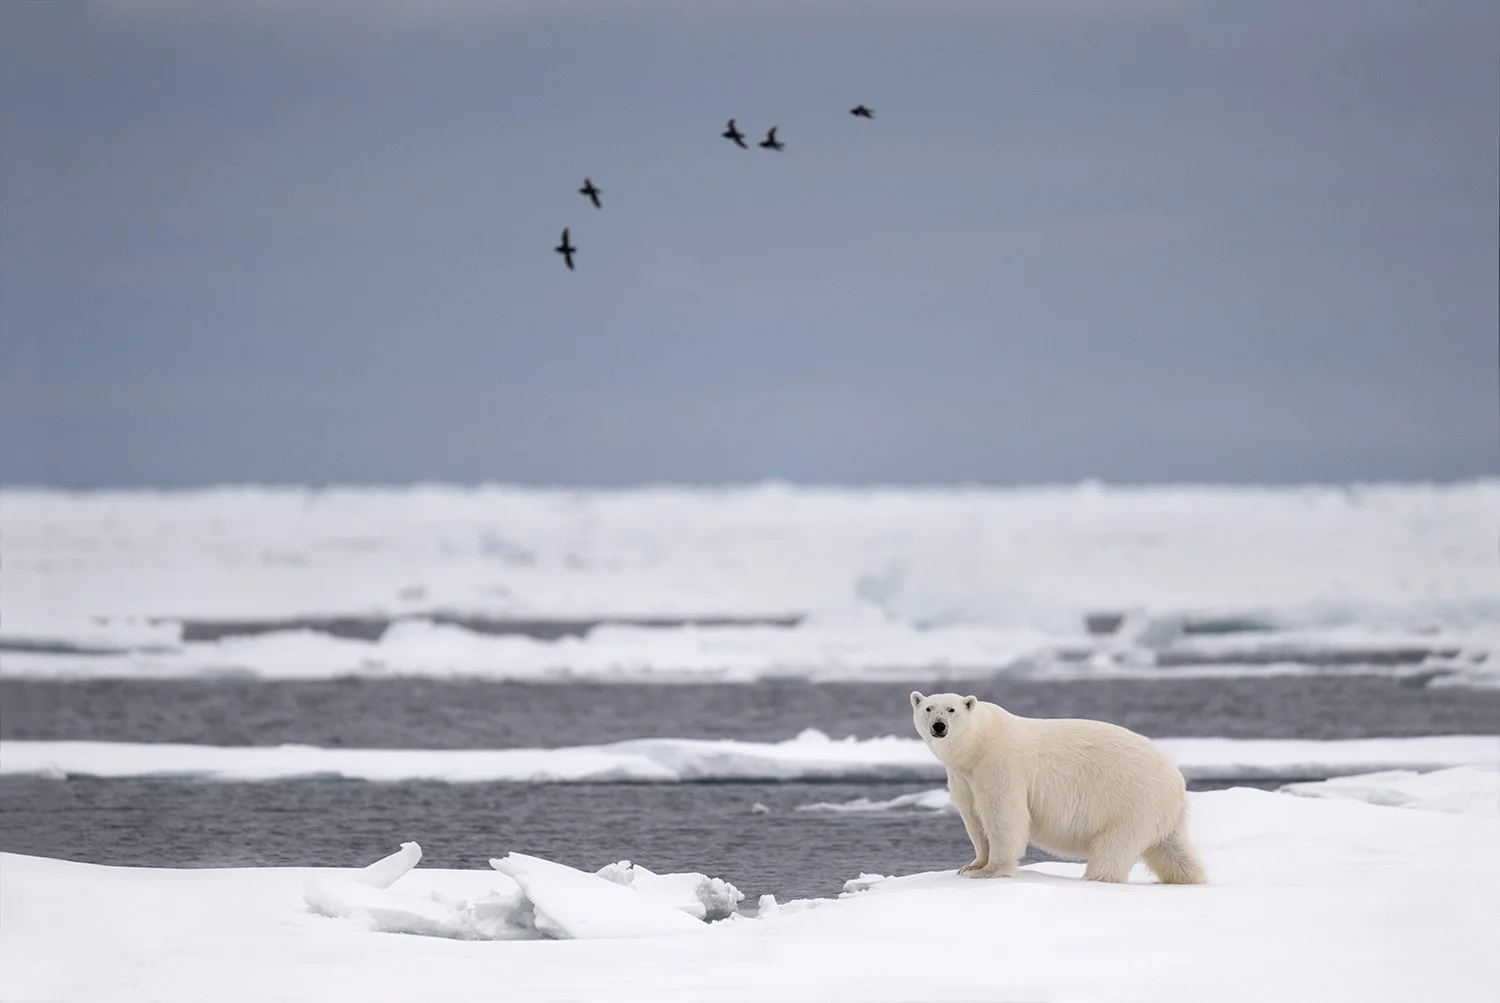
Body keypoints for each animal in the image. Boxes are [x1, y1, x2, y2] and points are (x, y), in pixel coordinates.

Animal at [910, 691, 1207, 885]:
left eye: (951, 709)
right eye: (928, 708)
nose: (939, 726)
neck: (978, 744)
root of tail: (1177, 780)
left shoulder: (1001, 766)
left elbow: (1004, 816)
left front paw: (990, 871)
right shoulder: (963, 778)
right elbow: (974, 819)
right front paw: (970, 865)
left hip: (1133, 802)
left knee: (1114, 847)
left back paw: (1095, 878)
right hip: (1160, 812)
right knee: (1173, 850)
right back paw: (1190, 879)